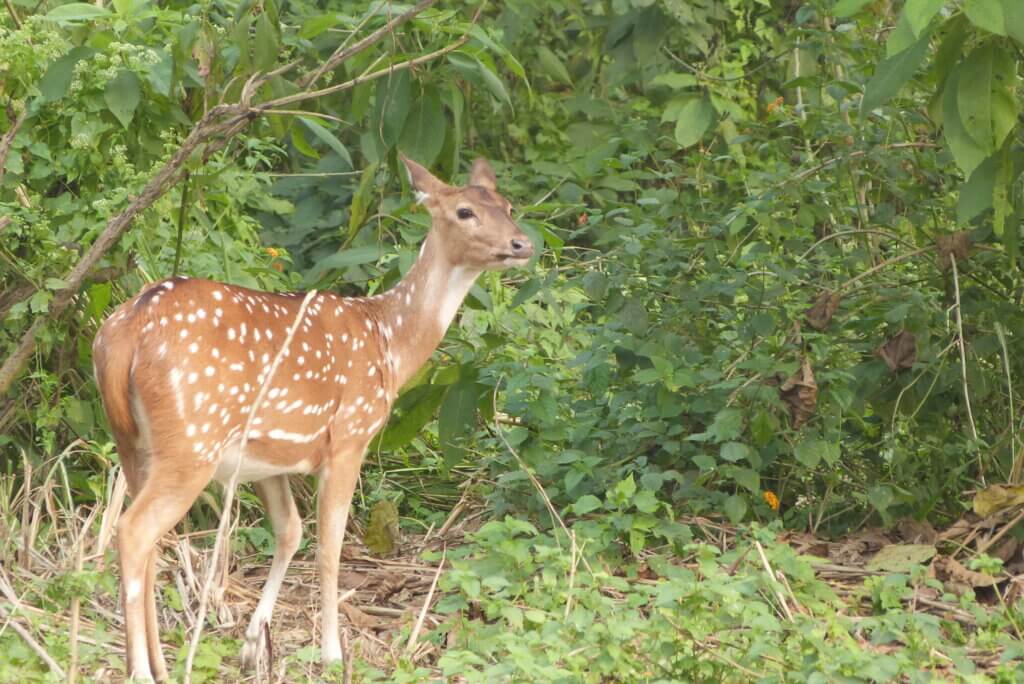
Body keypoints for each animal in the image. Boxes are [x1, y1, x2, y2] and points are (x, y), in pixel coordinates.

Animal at [92, 153, 534, 681]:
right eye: (464, 211)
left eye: (508, 205)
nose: (522, 243)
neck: (390, 343)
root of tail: (127, 330)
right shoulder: (349, 437)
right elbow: (329, 547)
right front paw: (332, 653)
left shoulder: (267, 457)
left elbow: (290, 532)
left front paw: (253, 646)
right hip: (192, 439)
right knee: (133, 531)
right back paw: (140, 669)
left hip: (132, 440)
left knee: (147, 537)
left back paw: (160, 661)